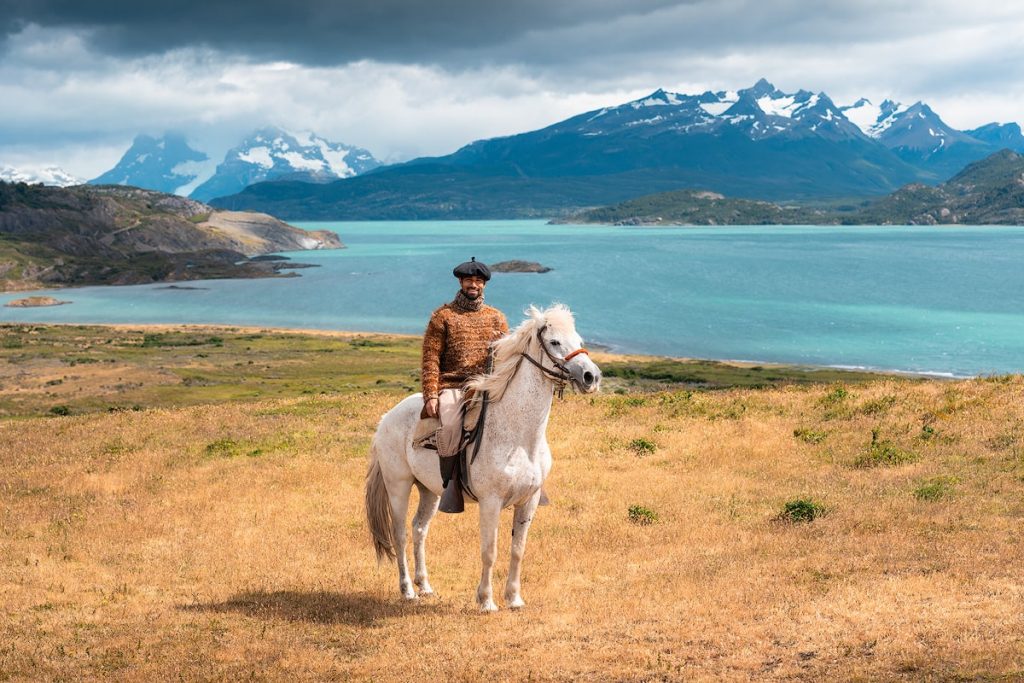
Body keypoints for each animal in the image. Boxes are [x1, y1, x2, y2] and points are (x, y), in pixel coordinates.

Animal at [366, 305, 598, 614]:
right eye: (555, 342)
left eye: (579, 339)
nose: (591, 376)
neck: (520, 437)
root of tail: (386, 418)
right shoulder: (491, 502)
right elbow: (490, 551)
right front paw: (486, 601)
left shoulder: (529, 501)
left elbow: (518, 549)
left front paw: (514, 599)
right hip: (398, 486)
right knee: (400, 533)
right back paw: (407, 591)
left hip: (430, 491)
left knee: (419, 529)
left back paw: (424, 586)